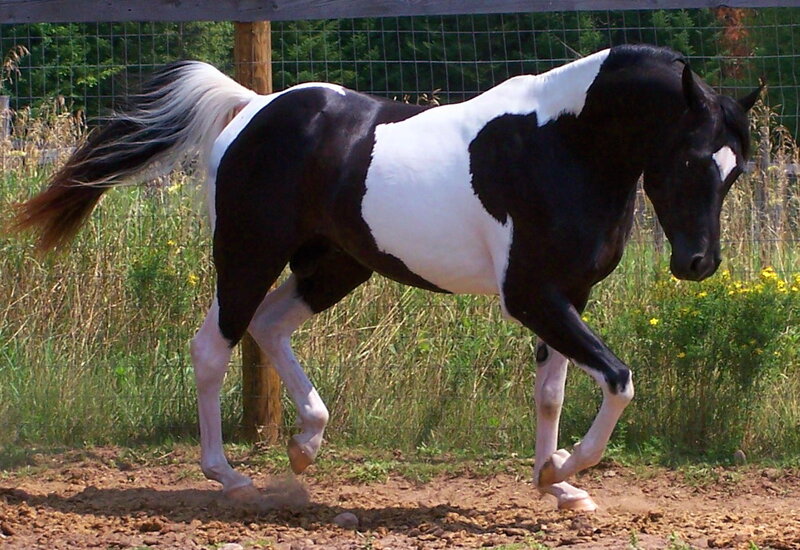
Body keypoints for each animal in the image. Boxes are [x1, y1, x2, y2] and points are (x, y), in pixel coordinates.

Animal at [12, 44, 759, 511]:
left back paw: (305, 446)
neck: (563, 146)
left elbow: (552, 392)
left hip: (336, 265)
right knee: (213, 346)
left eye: (735, 169)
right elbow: (619, 378)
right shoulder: (531, 297)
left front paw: (555, 482)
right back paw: (230, 476)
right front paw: (568, 469)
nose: (697, 264)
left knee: (268, 327)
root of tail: (251, 108)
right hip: (248, 255)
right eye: (692, 159)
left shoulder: (566, 296)